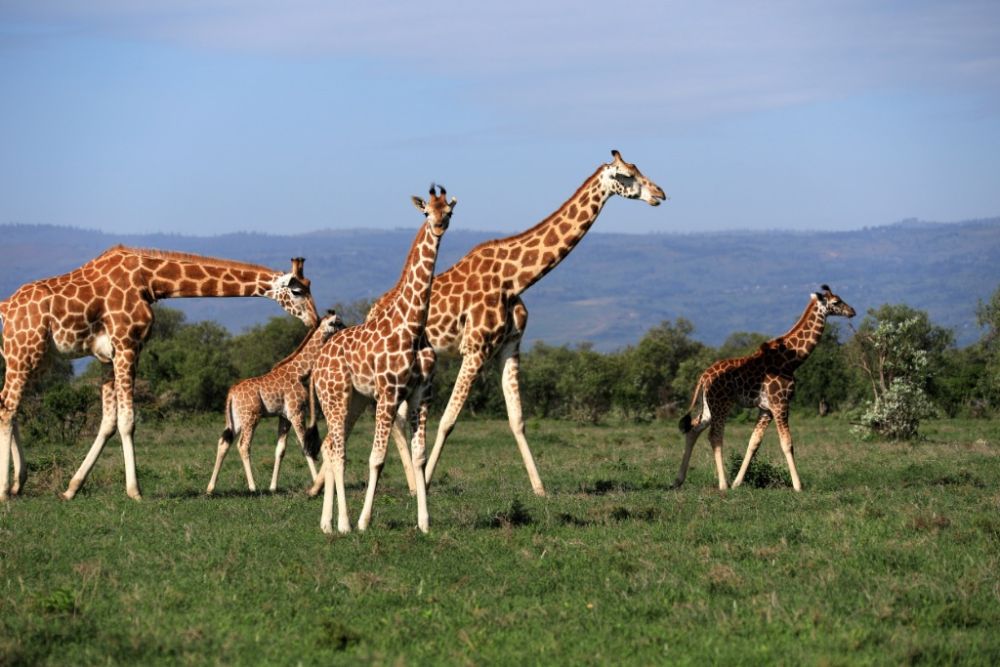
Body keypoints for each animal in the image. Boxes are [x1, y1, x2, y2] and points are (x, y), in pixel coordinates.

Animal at [0, 248, 318, 504]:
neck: (150, 281)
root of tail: (6, 307)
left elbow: (108, 421)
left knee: (10, 405)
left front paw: (71, 488)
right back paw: (5, 490)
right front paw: (135, 491)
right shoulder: (128, 346)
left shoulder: (108, 356)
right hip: (23, 352)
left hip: (37, 358)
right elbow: (127, 421)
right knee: (8, 407)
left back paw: (18, 484)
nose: (314, 320)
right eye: (298, 291)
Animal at [205, 310, 346, 496]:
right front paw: (316, 483)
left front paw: (273, 486)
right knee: (243, 446)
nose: (345, 329)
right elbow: (305, 445)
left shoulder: (284, 416)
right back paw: (252, 487)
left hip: (235, 420)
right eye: (336, 323)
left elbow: (280, 449)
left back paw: (210, 488)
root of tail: (231, 394)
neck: (300, 372)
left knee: (223, 443)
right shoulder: (297, 412)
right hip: (250, 418)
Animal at [312, 184, 454, 536]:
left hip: (355, 400)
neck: (414, 326)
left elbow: (419, 457)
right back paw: (344, 523)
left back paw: (326, 523)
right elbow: (376, 458)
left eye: (449, 211)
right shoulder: (389, 393)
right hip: (334, 397)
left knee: (329, 446)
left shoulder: (421, 394)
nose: (438, 226)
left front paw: (424, 522)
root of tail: (320, 360)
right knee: (339, 452)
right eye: (426, 211)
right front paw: (364, 521)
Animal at [374, 150, 664, 496]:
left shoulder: (510, 346)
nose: (660, 194)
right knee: (397, 415)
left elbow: (517, 419)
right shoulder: (475, 349)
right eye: (625, 175)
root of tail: (372, 309)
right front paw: (428, 481)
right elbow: (449, 419)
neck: (514, 279)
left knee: (401, 415)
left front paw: (540, 488)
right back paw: (414, 484)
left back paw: (410, 483)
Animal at [668, 284, 856, 494]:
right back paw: (722, 484)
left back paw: (678, 480)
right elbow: (787, 443)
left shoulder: (765, 408)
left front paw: (738, 482)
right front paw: (798, 485)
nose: (852, 311)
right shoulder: (780, 403)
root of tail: (703, 377)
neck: (791, 361)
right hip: (721, 404)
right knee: (714, 436)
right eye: (836, 302)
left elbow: (753, 443)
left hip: (708, 406)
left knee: (693, 429)